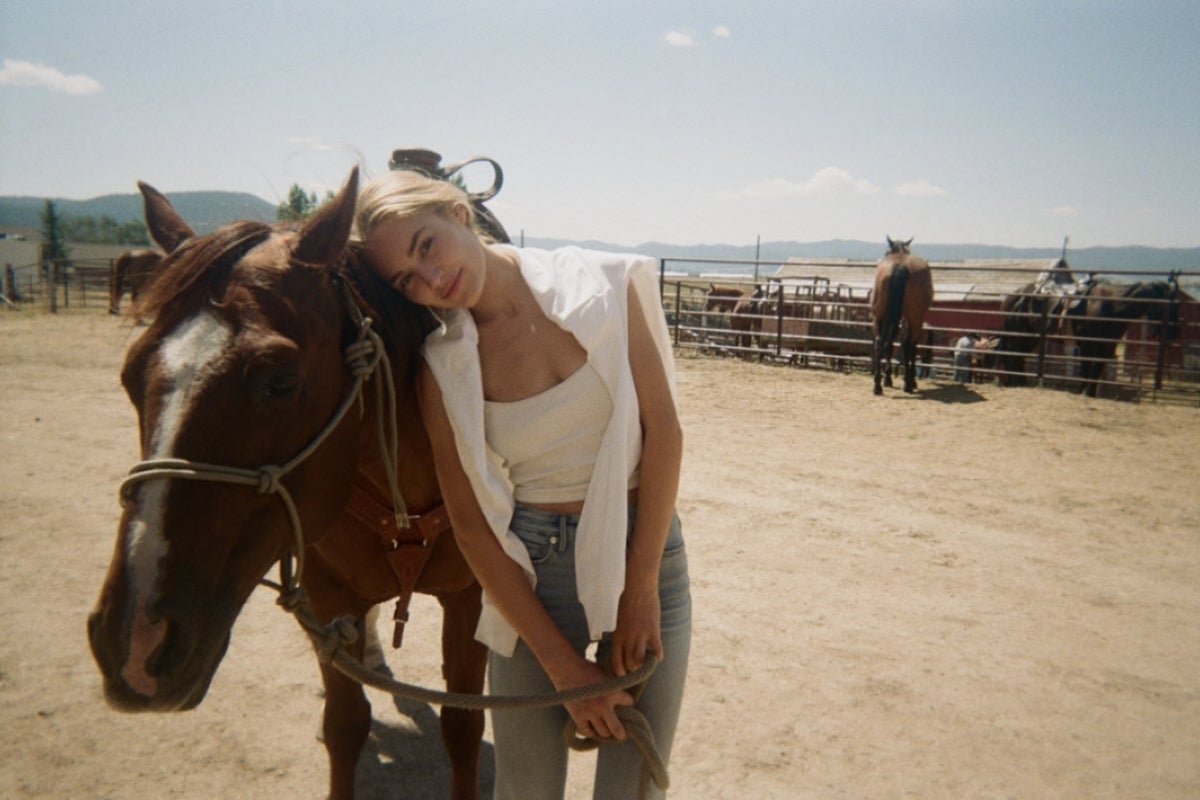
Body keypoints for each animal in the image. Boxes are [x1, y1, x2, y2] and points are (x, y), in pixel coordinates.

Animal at [84, 170, 489, 800]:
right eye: (130, 376)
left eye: (280, 381)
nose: (135, 644)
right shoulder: (328, 598)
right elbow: (345, 725)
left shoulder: (469, 600)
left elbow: (462, 727)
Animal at [873, 236, 936, 395]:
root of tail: (899, 266)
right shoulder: (910, 319)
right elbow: (909, 345)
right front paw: (910, 380)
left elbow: (891, 343)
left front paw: (887, 379)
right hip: (915, 317)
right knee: (909, 344)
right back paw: (908, 383)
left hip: (879, 315)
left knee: (880, 342)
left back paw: (877, 385)